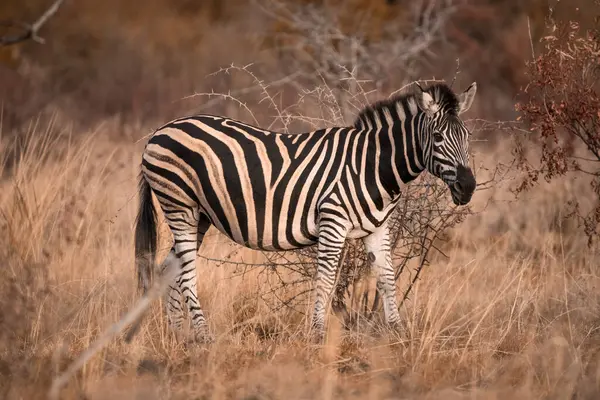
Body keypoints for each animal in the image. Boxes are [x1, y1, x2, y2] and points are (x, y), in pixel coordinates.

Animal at [132, 82, 478, 344]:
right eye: (437, 138)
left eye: (468, 137)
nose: (468, 187)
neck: (373, 166)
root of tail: (161, 130)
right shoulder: (333, 222)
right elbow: (325, 281)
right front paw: (317, 336)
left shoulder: (378, 228)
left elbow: (388, 279)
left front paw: (398, 334)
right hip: (179, 205)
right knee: (187, 273)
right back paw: (204, 338)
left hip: (199, 216)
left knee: (169, 269)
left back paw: (179, 338)